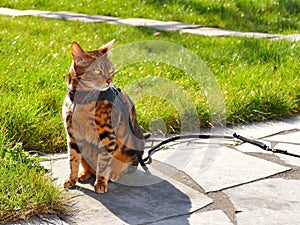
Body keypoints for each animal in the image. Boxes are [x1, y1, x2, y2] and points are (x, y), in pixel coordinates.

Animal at [62, 39, 146, 192]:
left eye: (111, 70)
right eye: (97, 71)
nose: (109, 81)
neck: (82, 100)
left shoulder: (108, 136)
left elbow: (103, 163)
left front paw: (101, 183)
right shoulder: (72, 135)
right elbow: (73, 160)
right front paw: (71, 179)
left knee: (125, 168)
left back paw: (114, 174)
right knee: (88, 166)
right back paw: (84, 173)